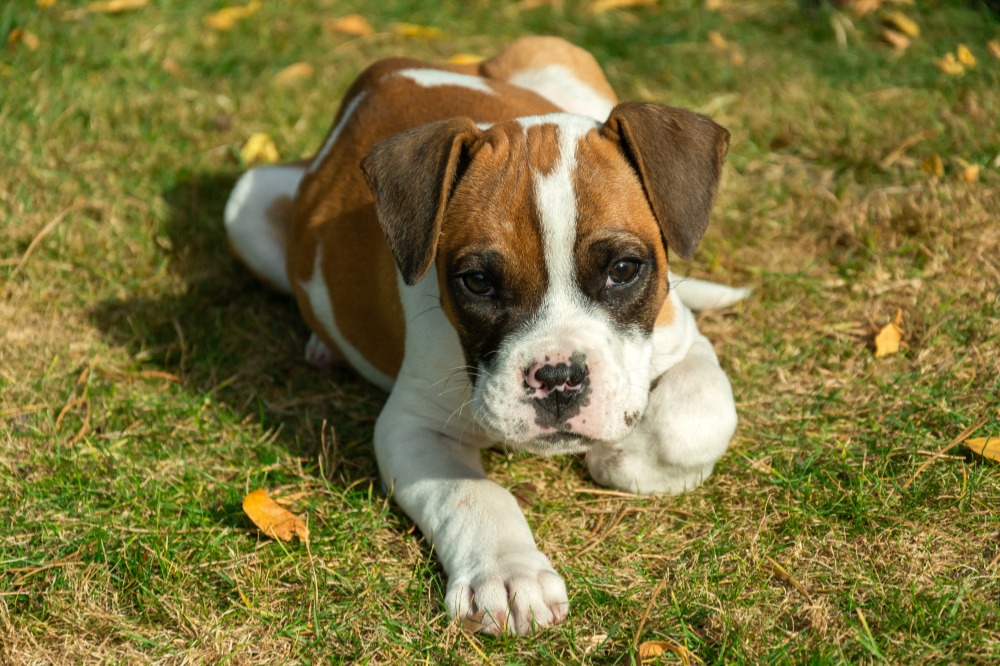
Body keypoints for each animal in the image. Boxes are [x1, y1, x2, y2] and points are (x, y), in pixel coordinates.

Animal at [223, 36, 748, 632]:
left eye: (623, 270)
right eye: (477, 282)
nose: (559, 378)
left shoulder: (679, 339)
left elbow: (696, 418)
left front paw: (622, 459)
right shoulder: (413, 426)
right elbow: (472, 496)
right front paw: (508, 572)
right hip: (247, 201)